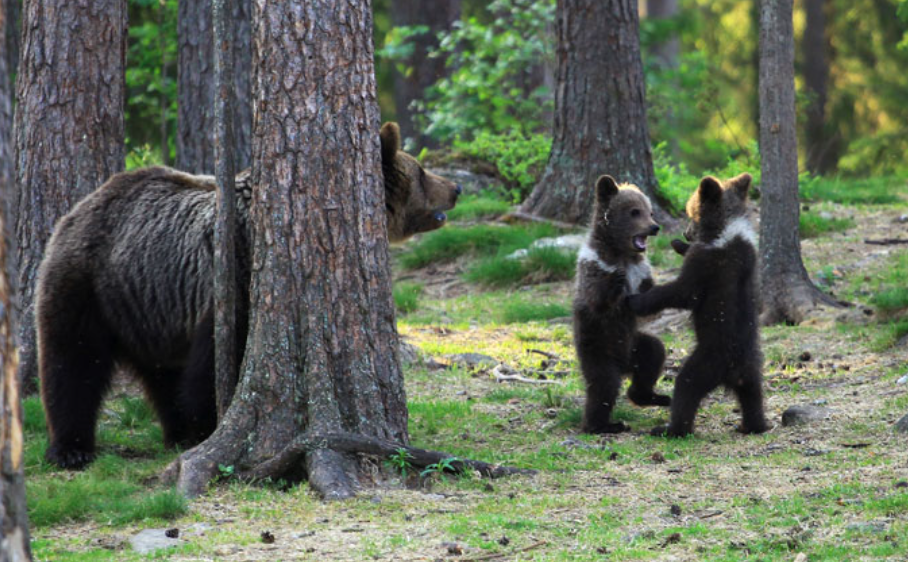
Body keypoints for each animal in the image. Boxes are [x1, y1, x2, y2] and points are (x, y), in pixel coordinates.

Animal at [35, 122, 462, 468]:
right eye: (422, 171)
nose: (456, 188)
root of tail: (81, 206)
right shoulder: (233, 282)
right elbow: (214, 364)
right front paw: (208, 426)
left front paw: (196, 429)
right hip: (89, 284)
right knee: (72, 361)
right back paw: (72, 449)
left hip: (149, 306)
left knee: (161, 374)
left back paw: (175, 431)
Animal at [580, 175, 672, 434]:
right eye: (634, 212)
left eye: (650, 212)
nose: (654, 227)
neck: (621, 253)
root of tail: (624, 366)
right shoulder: (592, 265)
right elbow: (598, 300)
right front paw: (616, 281)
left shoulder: (641, 271)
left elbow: (650, 306)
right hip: (597, 348)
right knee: (603, 385)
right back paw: (605, 424)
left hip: (635, 345)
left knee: (653, 354)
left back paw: (653, 396)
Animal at [632, 173, 768, 436]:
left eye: (690, 213)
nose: (685, 233)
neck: (725, 229)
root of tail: (734, 370)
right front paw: (677, 244)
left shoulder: (708, 263)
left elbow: (684, 292)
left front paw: (637, 300)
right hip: (753, 366)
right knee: (753, 395)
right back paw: (753, 425)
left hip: (706, 360)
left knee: (686, 386)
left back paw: (669, 428)